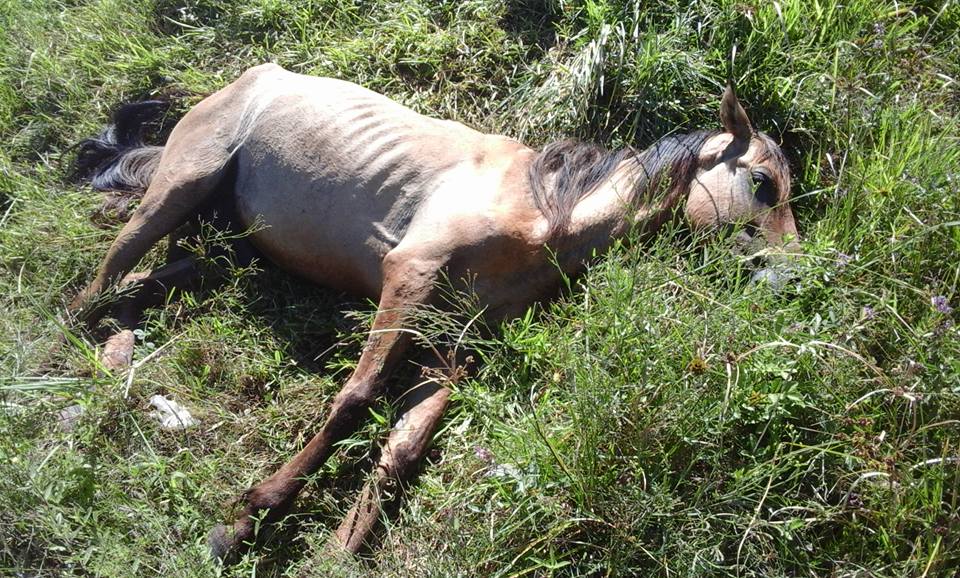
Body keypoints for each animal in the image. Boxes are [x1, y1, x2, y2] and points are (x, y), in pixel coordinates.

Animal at [67, 62, 800, 560]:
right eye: (762, 182)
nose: (792, 276)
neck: (543, 213)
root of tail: (246, 79)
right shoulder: (409, 278)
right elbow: (356, 399)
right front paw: (250, 516)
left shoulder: (452, 348)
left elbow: (402, 449)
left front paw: (334, 553)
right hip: (178, 190)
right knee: (93, 290)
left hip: (221, 246)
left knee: (131, 290)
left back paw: (115, 361)